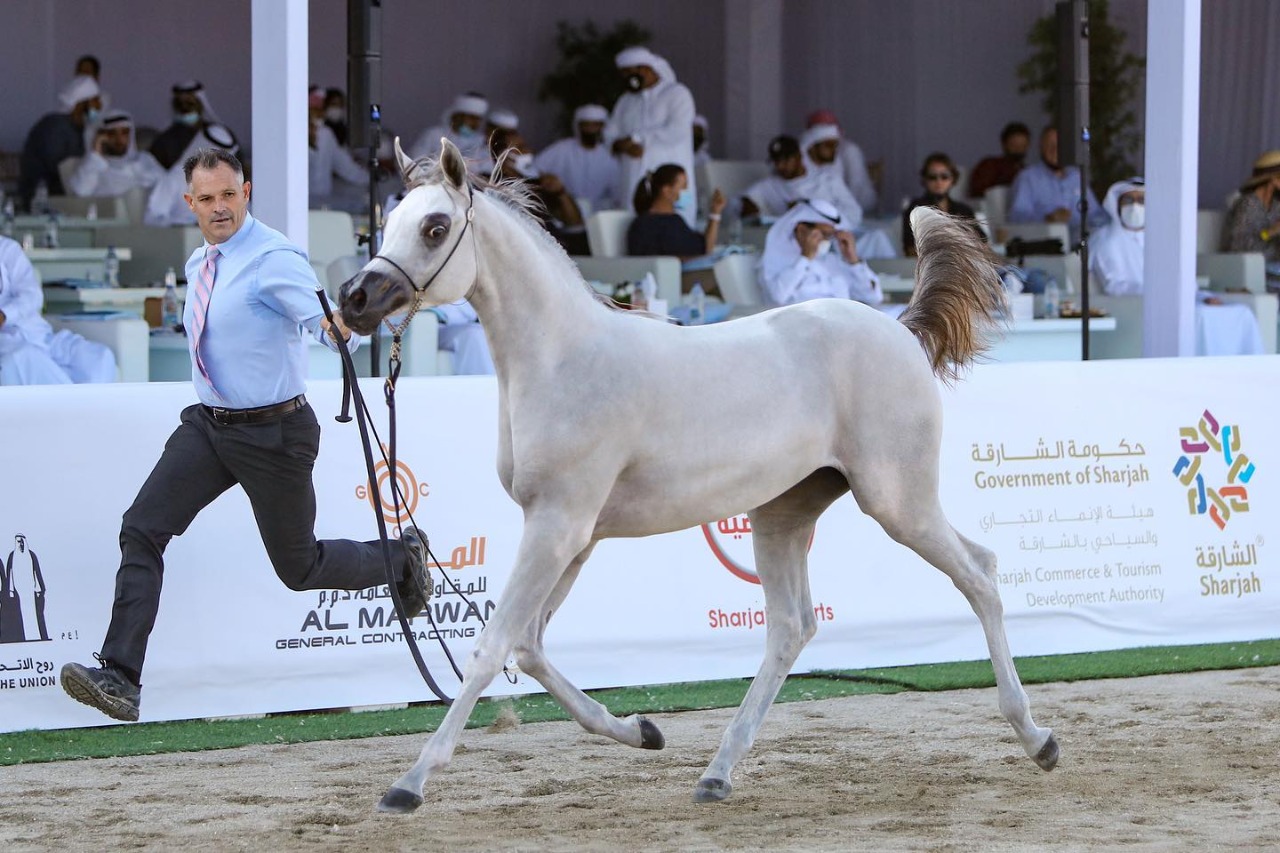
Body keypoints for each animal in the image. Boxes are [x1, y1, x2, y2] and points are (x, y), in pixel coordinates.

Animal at [340, 139, 1059, 809]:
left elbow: (492, 646)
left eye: (435, 226)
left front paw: (408, 783)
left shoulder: (558, 525)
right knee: (791, 628)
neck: (566, 360)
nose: (355, 299)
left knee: (980, 574)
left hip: (897, 501)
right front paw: (640, 729)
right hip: (783, 514)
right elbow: (530, 646)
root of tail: (902, 330)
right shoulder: (574, 533)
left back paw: (1037, 737)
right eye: (388, 222)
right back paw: (717, 772)